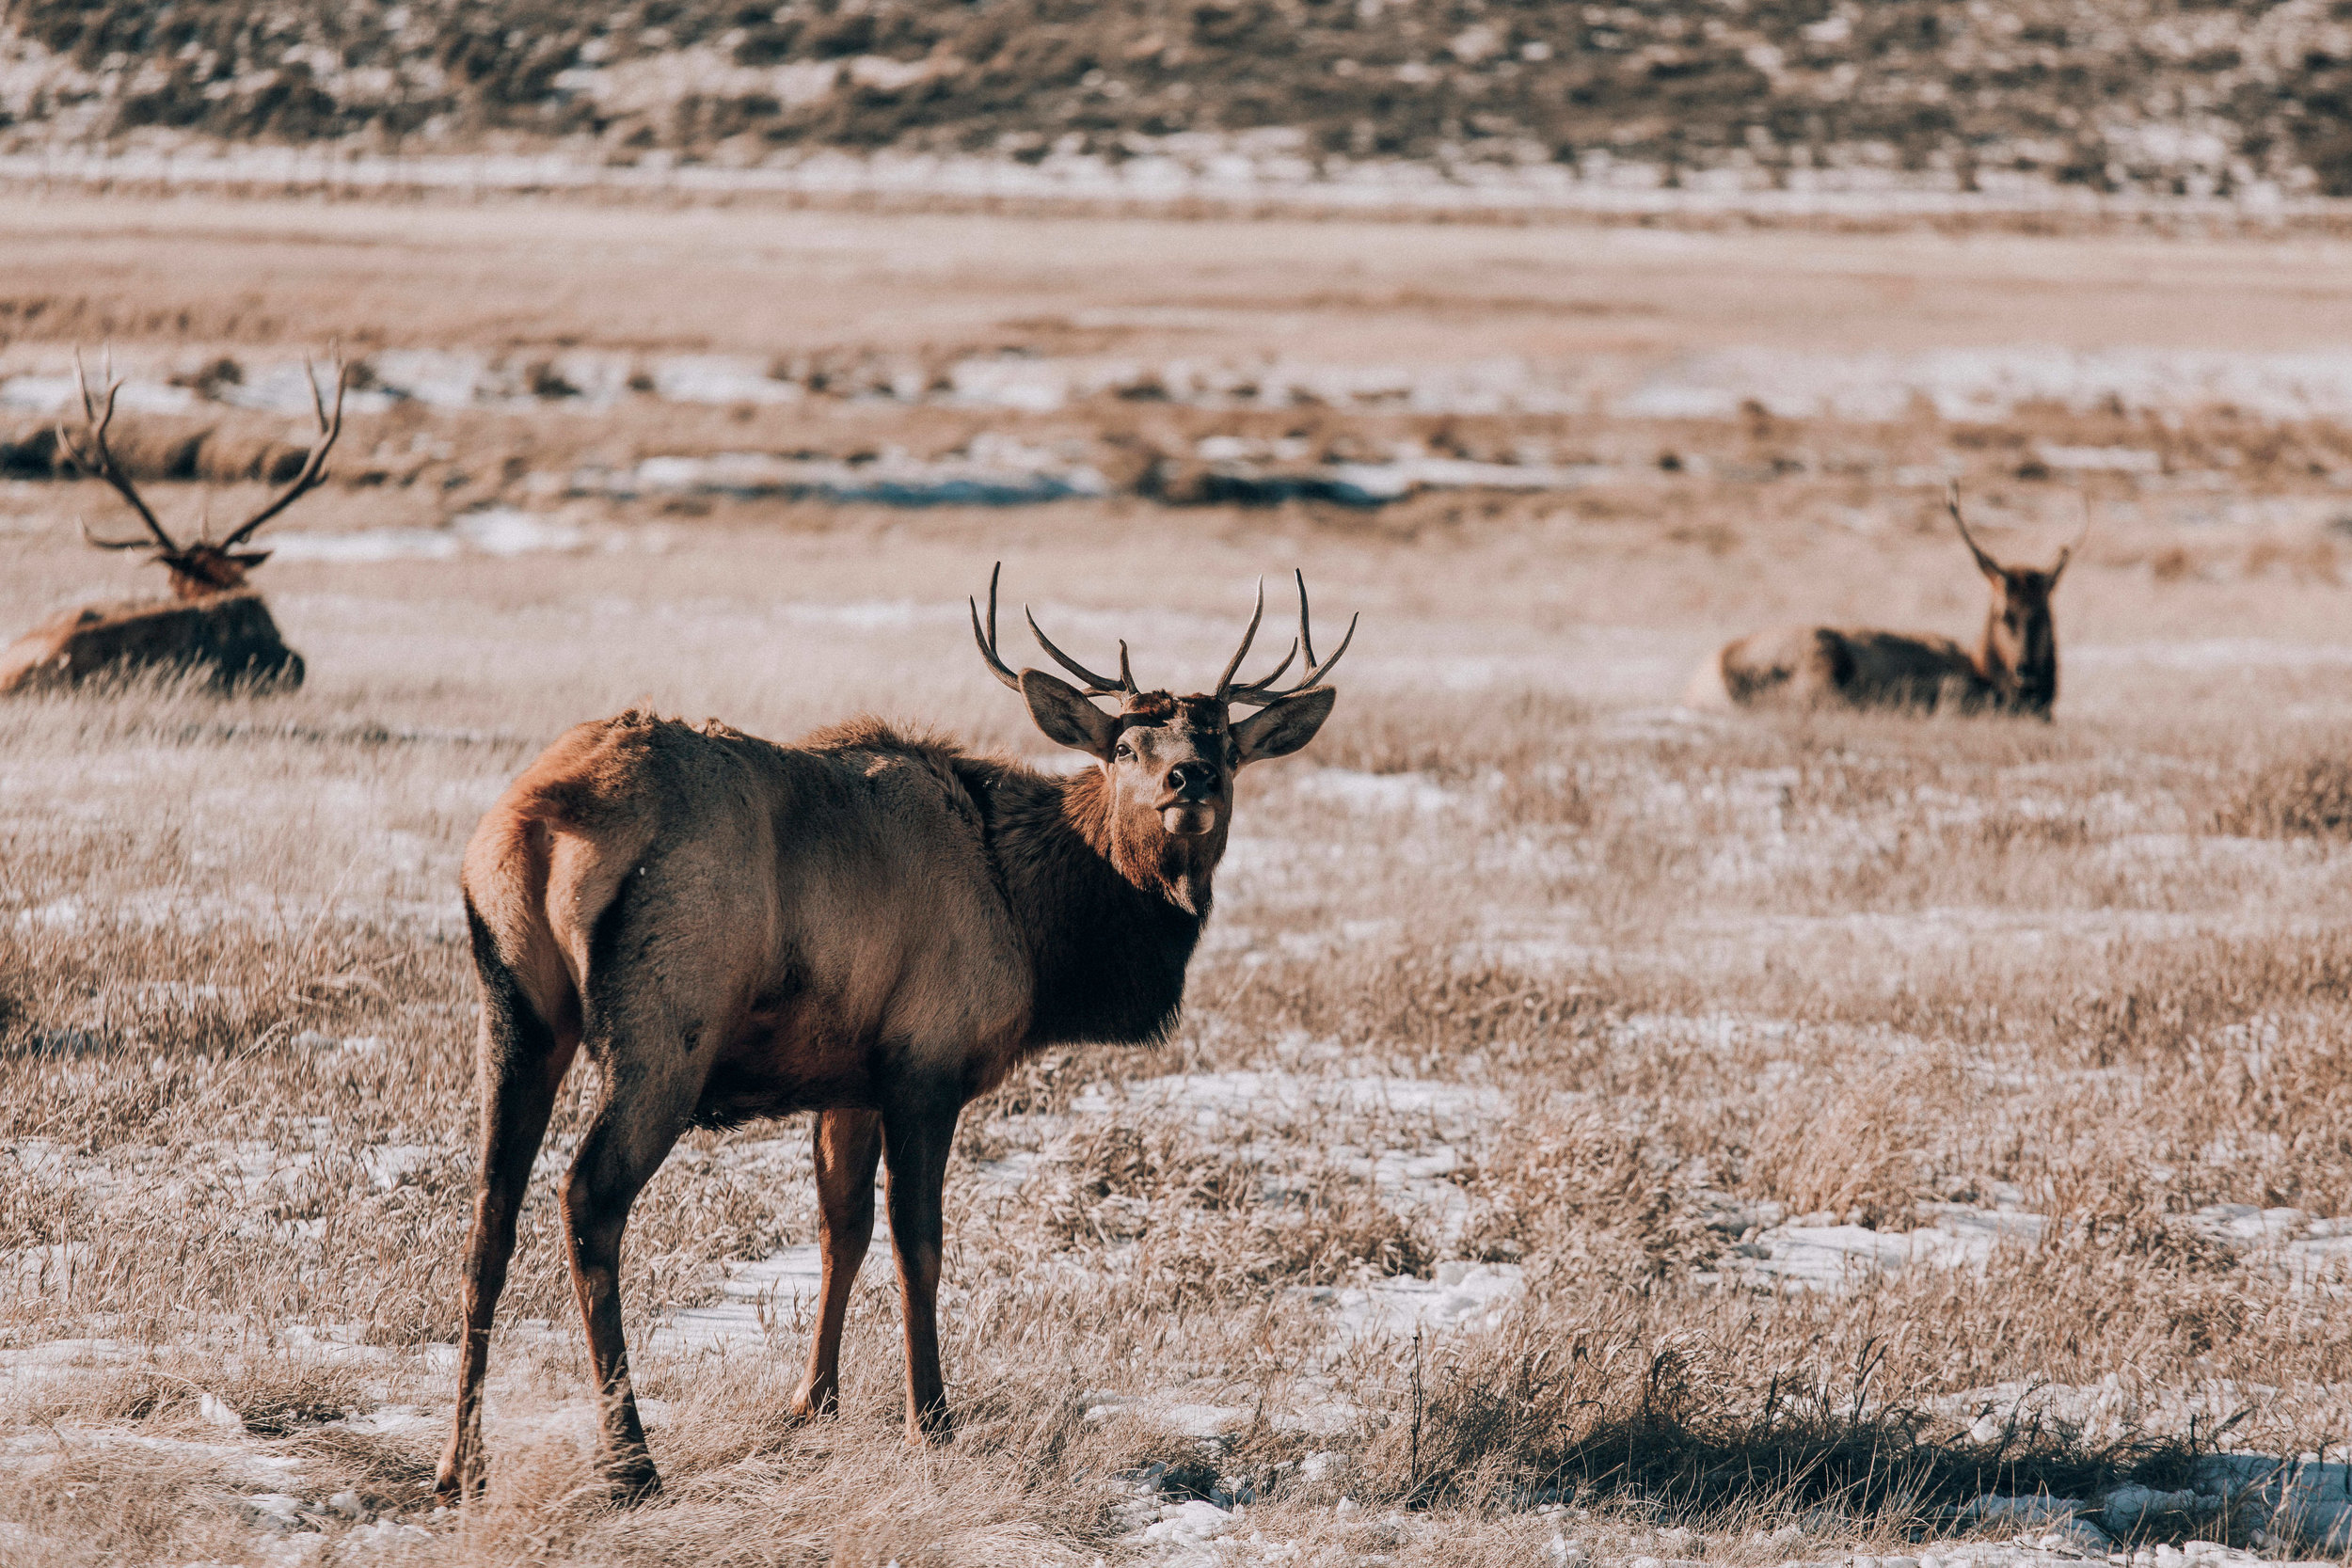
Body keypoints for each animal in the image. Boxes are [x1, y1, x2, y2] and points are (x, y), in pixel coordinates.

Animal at [437, 571, 1364, 1504]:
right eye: (1127, 747)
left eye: (1229, 747)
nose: (1190, 777)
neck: (1036, 928)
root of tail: (539, 816)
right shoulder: (927, 1059)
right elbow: (919, 1244)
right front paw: (932, 1417)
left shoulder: (846, 1078)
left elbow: (837, 1232)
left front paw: (814, 1400)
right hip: (666, 1025)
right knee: (587, 1195)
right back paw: (629, 1459)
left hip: (514, 1009)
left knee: (490, 1210)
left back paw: (461, 1464)